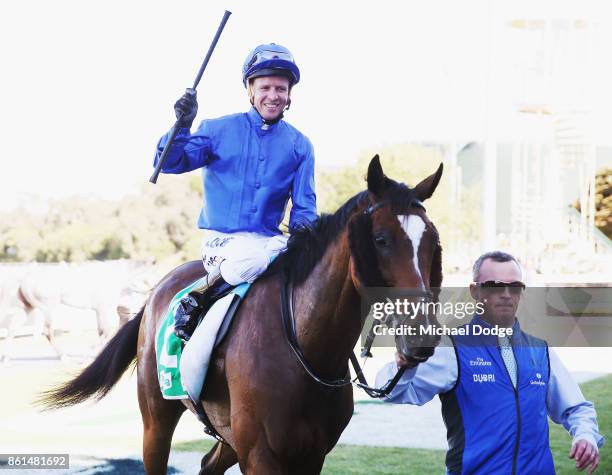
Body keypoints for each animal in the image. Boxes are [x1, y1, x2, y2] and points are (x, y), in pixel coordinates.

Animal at [43, 157, 444, 475]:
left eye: (433, 242)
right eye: (380, 239)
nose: (422, 335)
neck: (305, 346)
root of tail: (158, 289)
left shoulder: (311, 454)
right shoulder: (262, 455)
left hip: (228, 433)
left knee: (208, 465)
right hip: (157, 420)